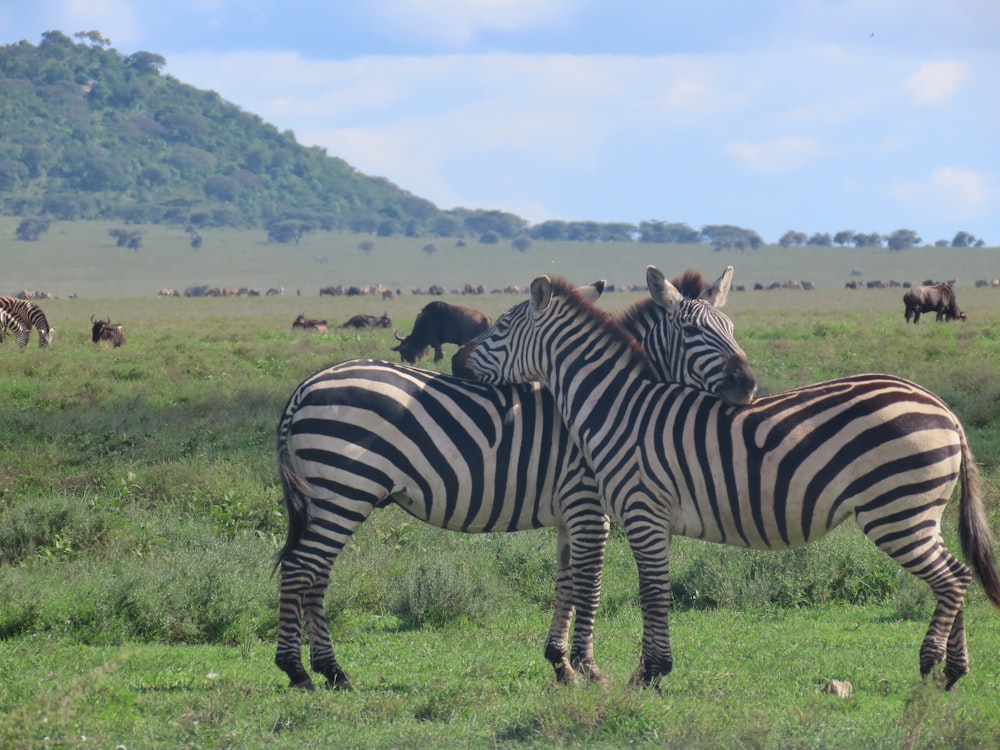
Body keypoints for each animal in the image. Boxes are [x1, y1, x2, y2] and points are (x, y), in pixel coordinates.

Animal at [270, 266, 752, 692]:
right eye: (692, 332)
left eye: (731, 328)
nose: (747, 385)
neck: (610, 402)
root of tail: (307, 385)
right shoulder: (588, 506)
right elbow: (591, 584)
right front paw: (589, 669)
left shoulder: (571, 514)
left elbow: (567, 582)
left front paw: (561, 666)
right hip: (345, 489)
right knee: (301, 569)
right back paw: (298, 671)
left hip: (331, 496)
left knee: (316, 573)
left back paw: (331, 671)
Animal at [452, 272, 1000, 692]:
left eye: (502, 325)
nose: (456, 362)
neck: (619, 406)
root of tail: (945, 409)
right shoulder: (641, 516)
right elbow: (646, 590)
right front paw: (648, 669)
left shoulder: (642, 511)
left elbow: (653, 592)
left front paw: (649, 674)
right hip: (917, 511)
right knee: (959, 574)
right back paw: (954, 671)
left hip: (896, 509)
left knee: (951, 577)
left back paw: (930, 665)